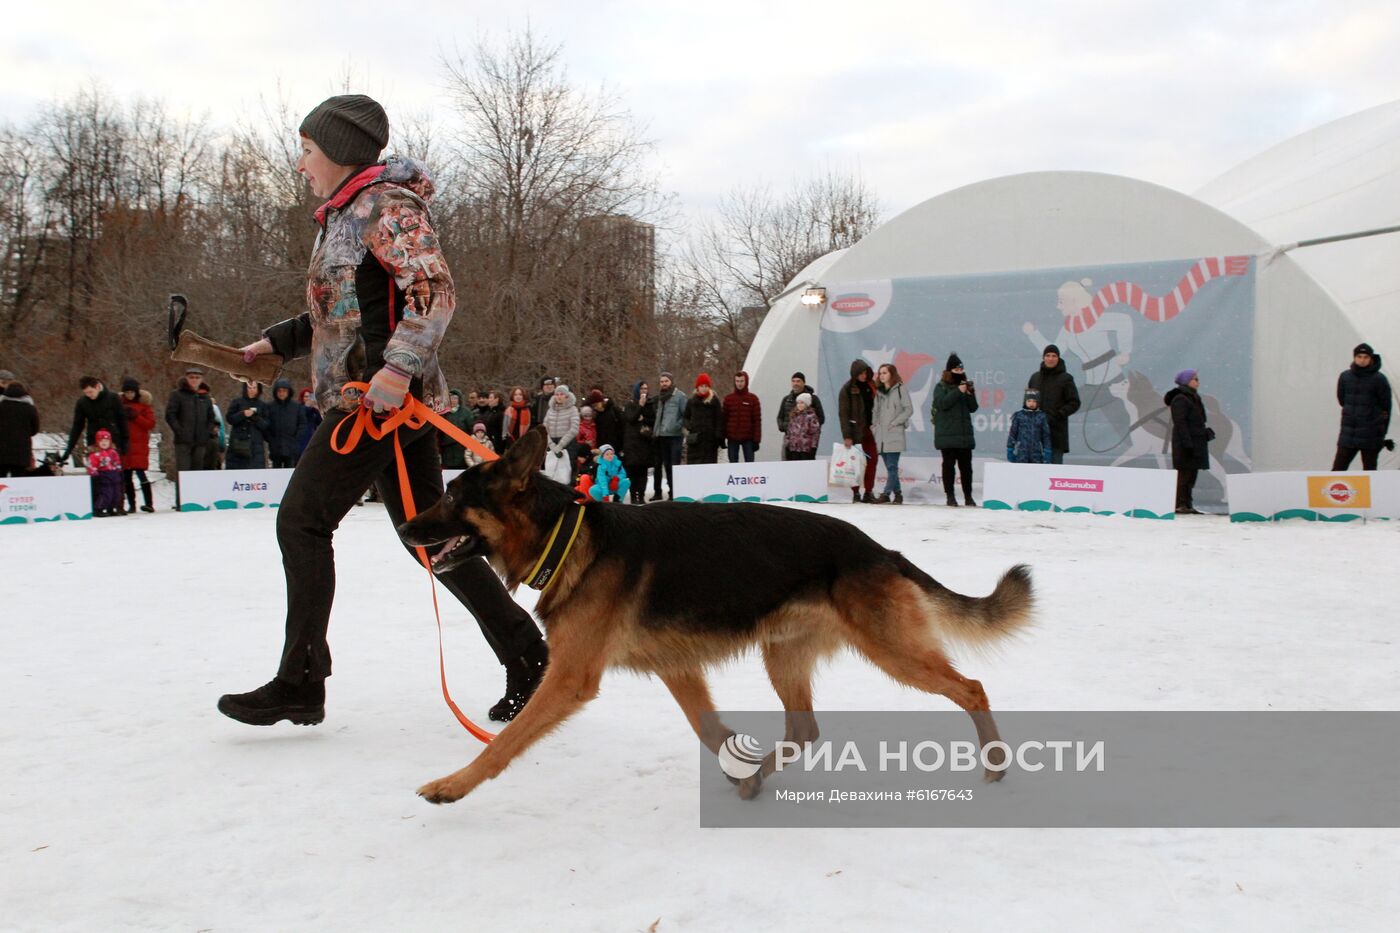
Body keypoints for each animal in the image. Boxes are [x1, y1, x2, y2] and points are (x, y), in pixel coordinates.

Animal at [400, 428, 1036, 801]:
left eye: (451, 498)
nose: (405, 528)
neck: (569, 537)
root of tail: (880, 550)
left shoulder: (571, 679)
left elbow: (504, 742)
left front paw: (454, 784)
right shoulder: (676, 669)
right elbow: (708, 729)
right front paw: (738, 765)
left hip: (894, 653)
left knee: (972, 688)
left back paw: (996, 763)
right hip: (783, 656)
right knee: (804, 730)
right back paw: (760, 773)